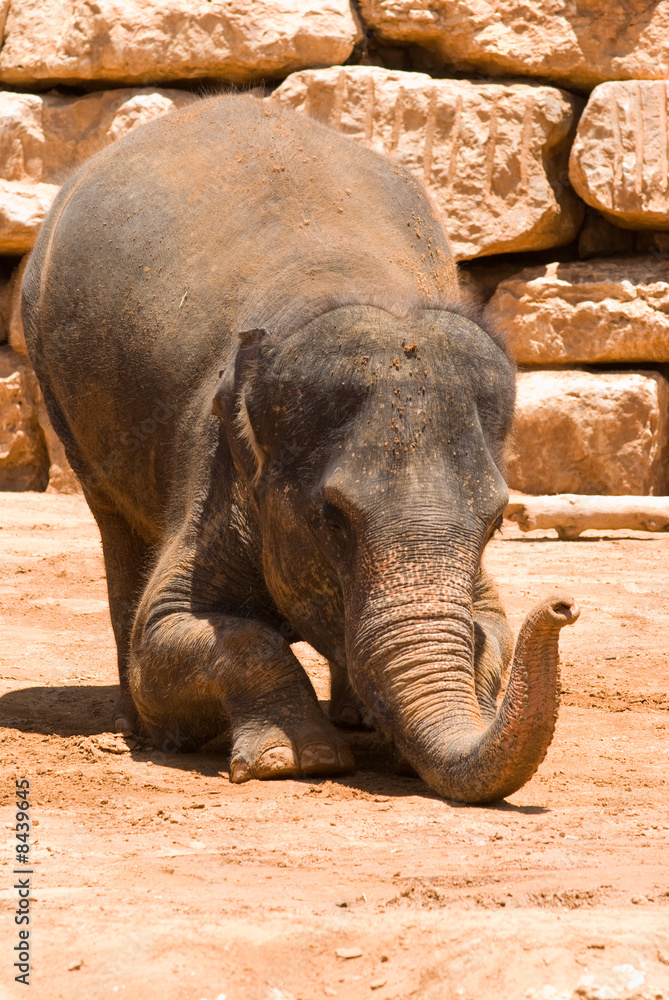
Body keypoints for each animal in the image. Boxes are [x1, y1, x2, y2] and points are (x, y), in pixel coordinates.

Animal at [22, 94, 579, 803]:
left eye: (497, 520)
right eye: (332, 518)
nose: (563, 605)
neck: (347, 288)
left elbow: (495, 628)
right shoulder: (216, 465)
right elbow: (176, 633)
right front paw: (294, 761)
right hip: (56, 388)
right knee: (115, 529)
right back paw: (144, 730)